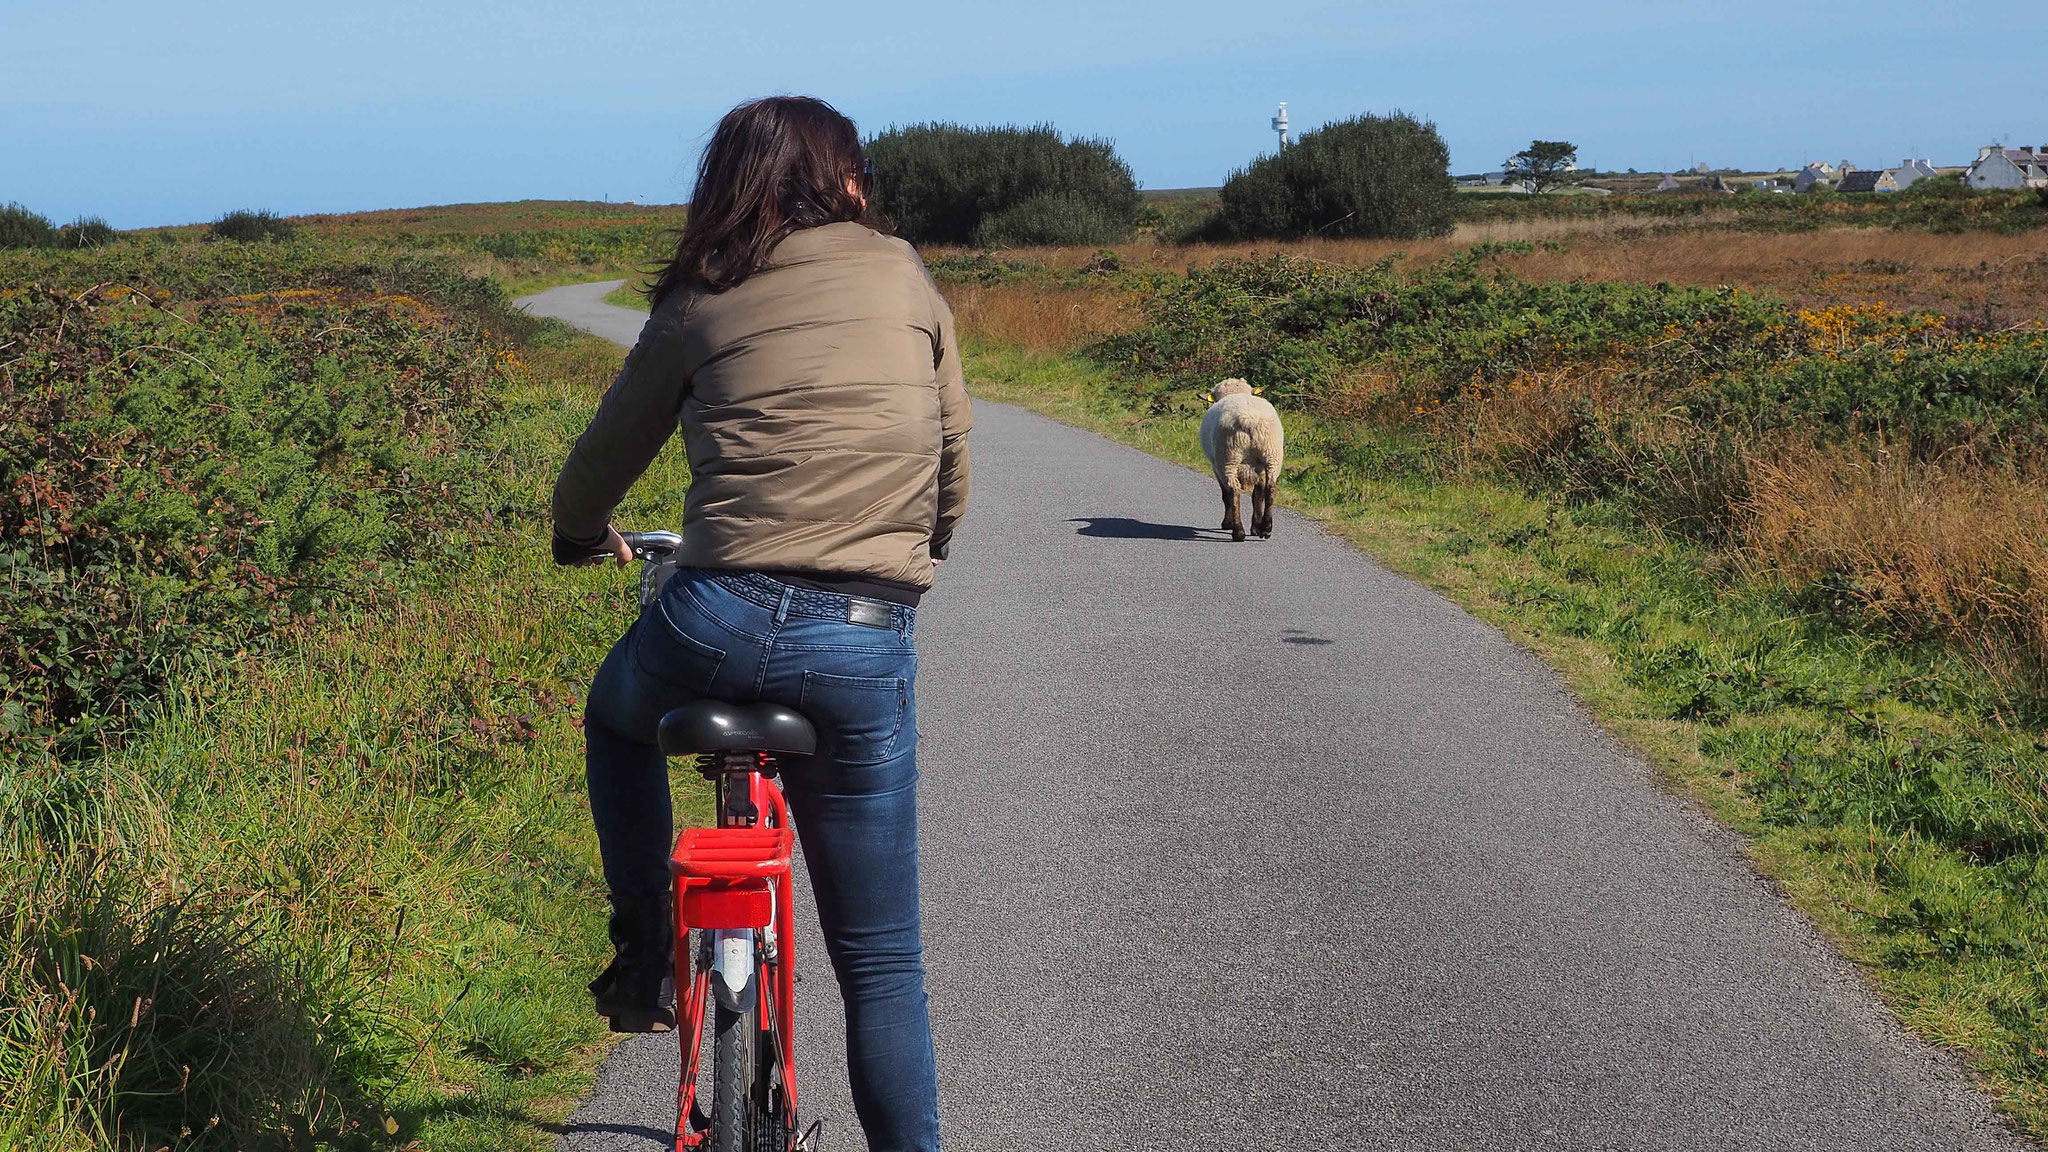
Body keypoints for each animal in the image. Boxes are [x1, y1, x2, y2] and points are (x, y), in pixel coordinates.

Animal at [1196, 375, 1277, 541]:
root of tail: (1249, 420)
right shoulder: (1259, 467)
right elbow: (1258, 495)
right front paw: (1256, 528)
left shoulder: (1216, 467)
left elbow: (1225, 495)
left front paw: (1227, 524)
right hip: (1271, 454)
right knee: (1270, 488)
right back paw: (1266, 529)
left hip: (1228, 458)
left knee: (1233, 491)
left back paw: (1238, 531)